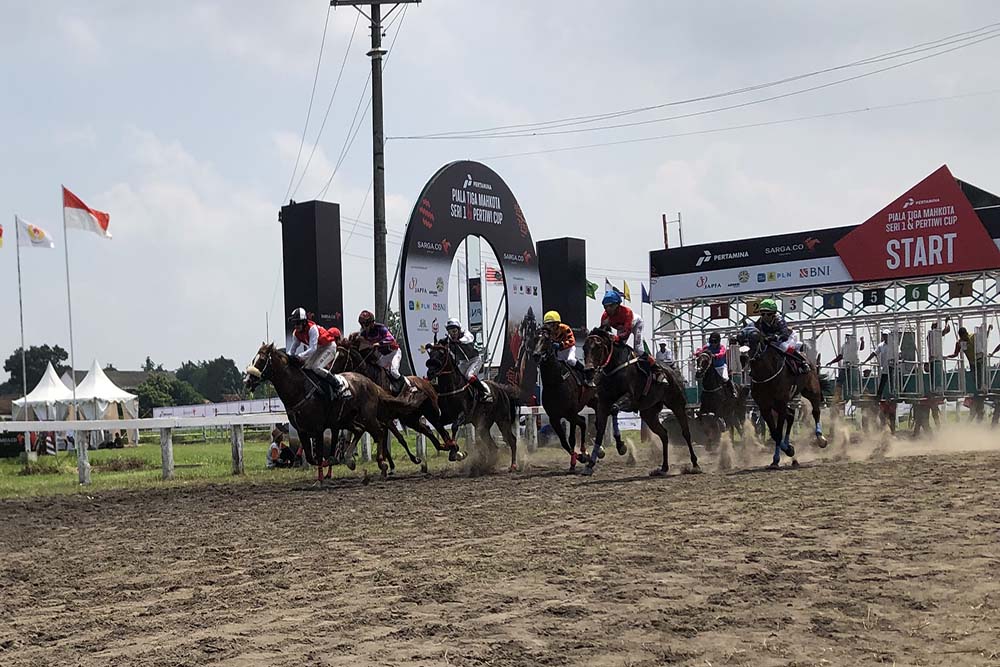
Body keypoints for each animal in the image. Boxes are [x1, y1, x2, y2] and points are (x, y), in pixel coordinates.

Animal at [248, 344, 424, 480]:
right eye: (253, 359)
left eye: (261, 360)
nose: (248, 380)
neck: (299, 389)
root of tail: (370, 383)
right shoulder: (302, 430)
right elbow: (312, 458)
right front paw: (330, 466)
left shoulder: (318, 428)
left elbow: (320, 455)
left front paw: (322, 477)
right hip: (350, 419)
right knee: (362, 430)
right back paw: (351, 459)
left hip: (368, 416)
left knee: (380, 433)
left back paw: (385, 463)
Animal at [332, 332, 464, 464]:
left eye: (341, 356)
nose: (331, 371)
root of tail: (428, 384)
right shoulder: (381, 419)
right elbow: (389, 438)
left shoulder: (387, 417)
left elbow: (396, 438)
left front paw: (409, 459)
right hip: (410, 418)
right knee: (428, 430)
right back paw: (447, 447)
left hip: (431, 412)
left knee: (441, 429)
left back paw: (454, 449)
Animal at [424, 342, 524, 472]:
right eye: (431, 353)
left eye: (441, 354)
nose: (429, 373)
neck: (452, 388)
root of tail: (502, 389)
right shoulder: (445, 417)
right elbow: (440, 427)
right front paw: (453, 448)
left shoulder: (463, 415)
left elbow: (454, 426)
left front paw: (456, 453)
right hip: (483, 426)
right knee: (493, 446)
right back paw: (488, 465)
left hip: (503, 420)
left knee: (512, 440)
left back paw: (513, 465)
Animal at [580, 328, 696, 474]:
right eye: (584, 347)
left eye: (598, 346)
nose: (588, 371)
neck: (615, 366)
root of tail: (673, 372)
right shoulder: (602, 403)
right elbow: (600, 429)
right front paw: (590, 464)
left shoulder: (630, 397)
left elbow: (614, 409)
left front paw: (621, 446)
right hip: (649, 413)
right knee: (663, 434)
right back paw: (663, 467)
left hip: (677, 405)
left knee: (686, 433)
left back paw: (695, 464)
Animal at [736, 324, 828, 470]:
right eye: (739, 338)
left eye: (755, 338)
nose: (743, 356)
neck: (766, 373)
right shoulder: (765, 407)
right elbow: (775, 434)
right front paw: (788, 451)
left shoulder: (780, 403)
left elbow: (778, 432)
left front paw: (780, 456)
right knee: (790, 415)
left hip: (811, 390)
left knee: (815, 411)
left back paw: (820, 438)